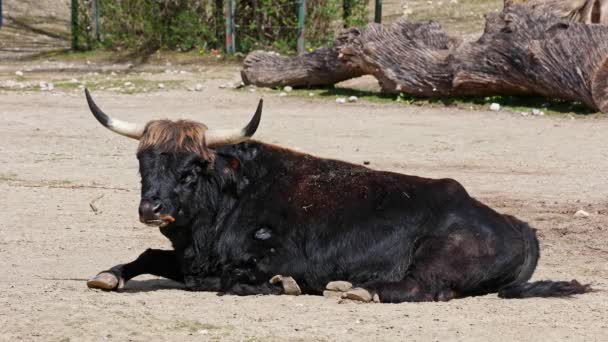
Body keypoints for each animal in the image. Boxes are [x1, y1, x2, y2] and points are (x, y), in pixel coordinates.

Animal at [84, 91, 588, 302]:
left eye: (191, 170)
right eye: (143, 163)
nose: (151, 208)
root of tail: (517, 225)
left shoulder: (275, 257)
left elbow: (225, 279)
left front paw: (278, 285)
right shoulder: (188, 254)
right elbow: (151, 256)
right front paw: (110, 275)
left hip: (437, 259)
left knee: (422, 288)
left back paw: (357, 290)